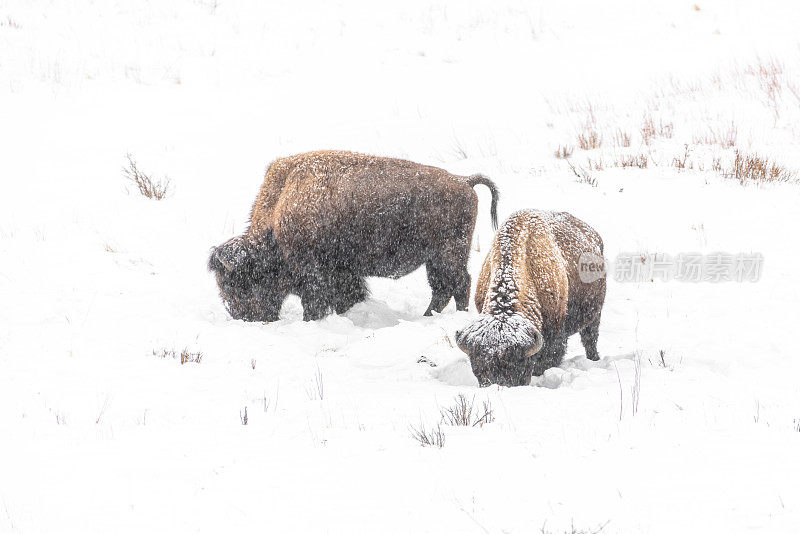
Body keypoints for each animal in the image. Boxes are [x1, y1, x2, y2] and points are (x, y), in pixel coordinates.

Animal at [206, 151, 496, 322]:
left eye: (236, 282)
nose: (242, 316)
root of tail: (464, 181)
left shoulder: (315, 274)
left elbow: (315, 303)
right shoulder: (343, 272)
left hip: (447, 255)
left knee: (458, 284)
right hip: (436, 260)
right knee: (444, 289)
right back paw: (428, 317)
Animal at [454, 210, 604, 390]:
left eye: (519, 367)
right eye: (478, 368)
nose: (498, 386)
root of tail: (594, 235)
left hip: (595, 315)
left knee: (590, 338)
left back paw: (594, 359)